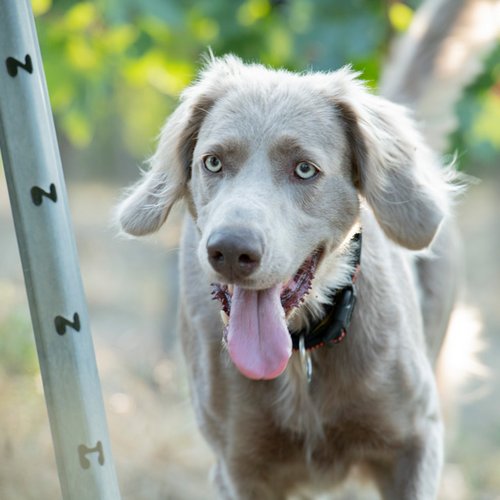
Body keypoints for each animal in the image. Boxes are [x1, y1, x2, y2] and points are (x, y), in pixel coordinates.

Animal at [115, 0, 498, 496]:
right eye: (213, 162)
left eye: (304, 169)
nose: (231, 252)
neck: (300, 354)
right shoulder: (238, 468)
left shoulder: (415, 442)